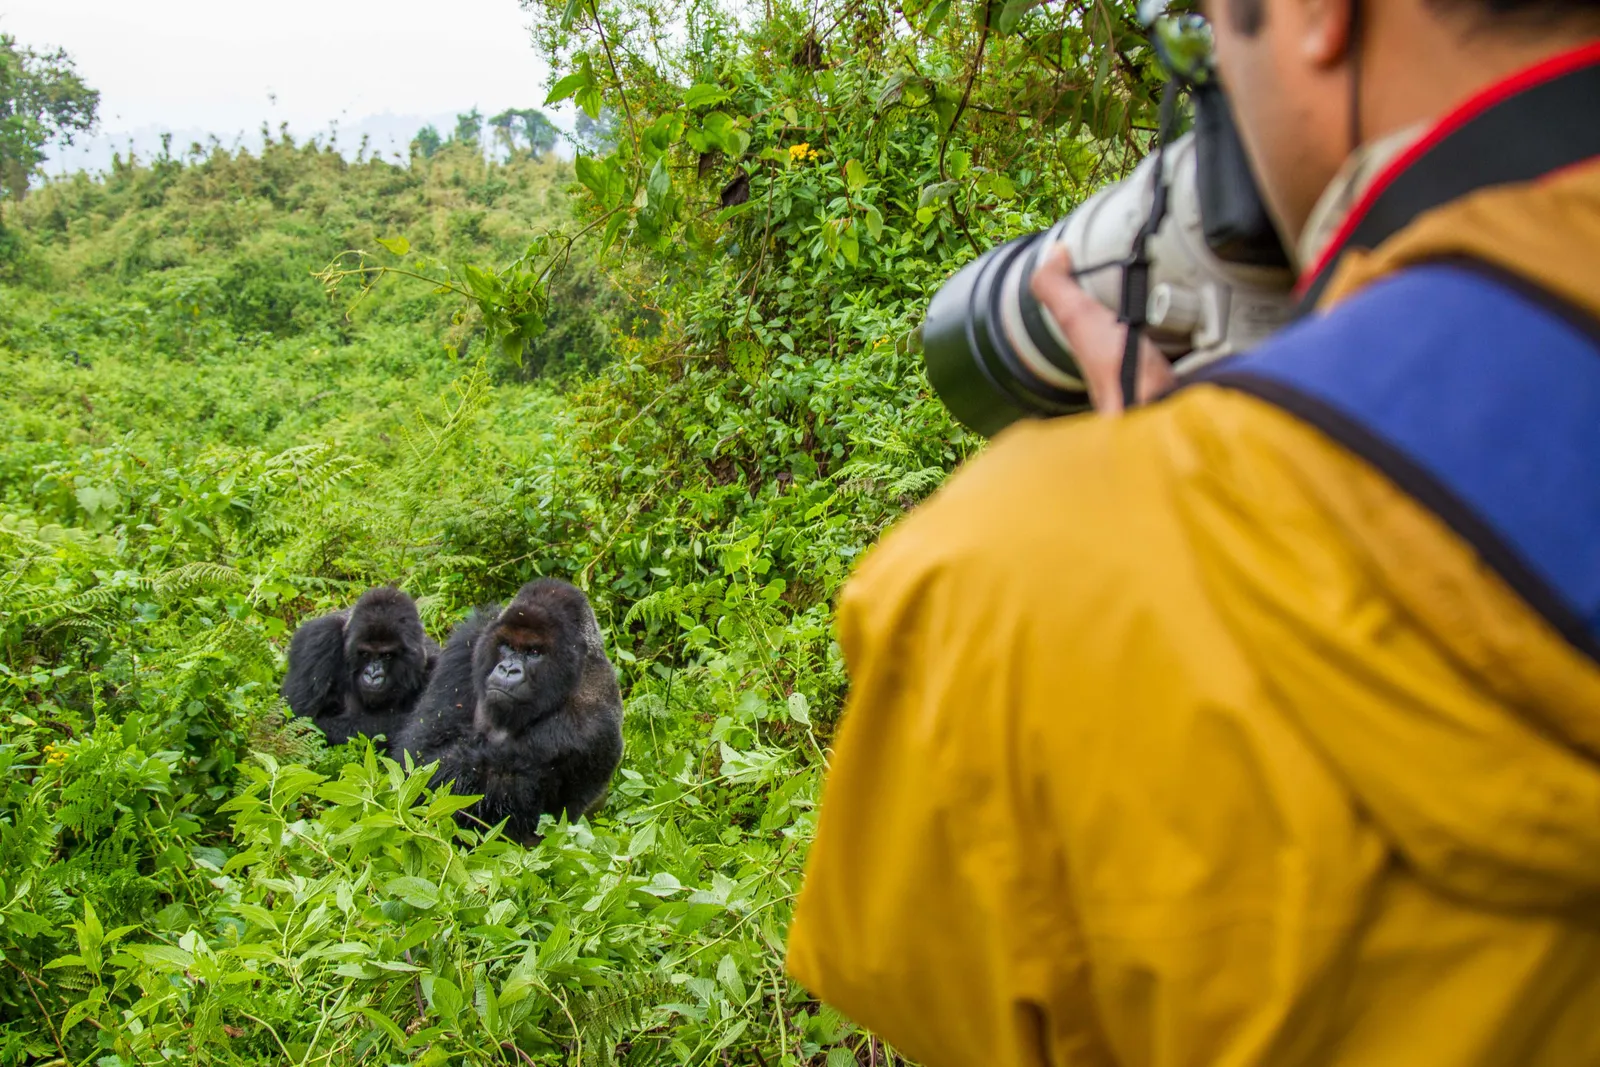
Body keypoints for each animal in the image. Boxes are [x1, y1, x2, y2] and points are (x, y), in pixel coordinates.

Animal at [393, 579, 624, 844]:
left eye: (534, 653)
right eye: (507, 646)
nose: (507, 669)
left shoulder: (590, 724)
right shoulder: (470, 640)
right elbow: (423, 753)